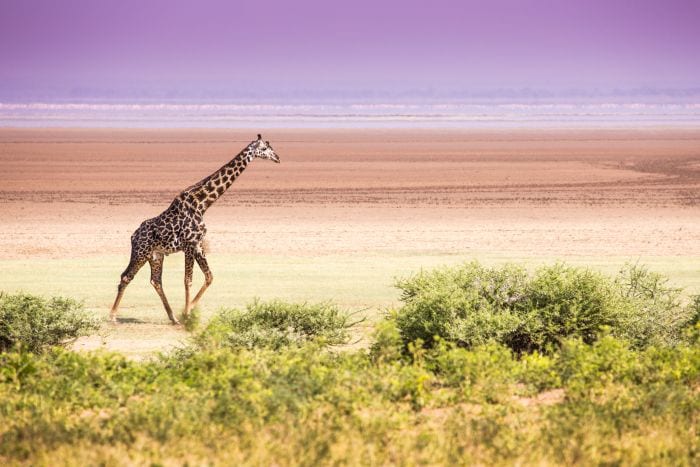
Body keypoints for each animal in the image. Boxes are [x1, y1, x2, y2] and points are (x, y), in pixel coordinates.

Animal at [110, 134, 280, 324]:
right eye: (264, 148)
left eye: (270, 146)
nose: (277, 158)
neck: (202, 204)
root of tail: (133, 236)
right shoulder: (189, 245)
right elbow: (188, 280)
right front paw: (187, 314)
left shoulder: (198, 244)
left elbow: (209, 276)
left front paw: (188, 310)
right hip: (141, 252)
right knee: (126, 276)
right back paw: (113, 316)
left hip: (156, 255)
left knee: (156, 281)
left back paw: (173, 317)